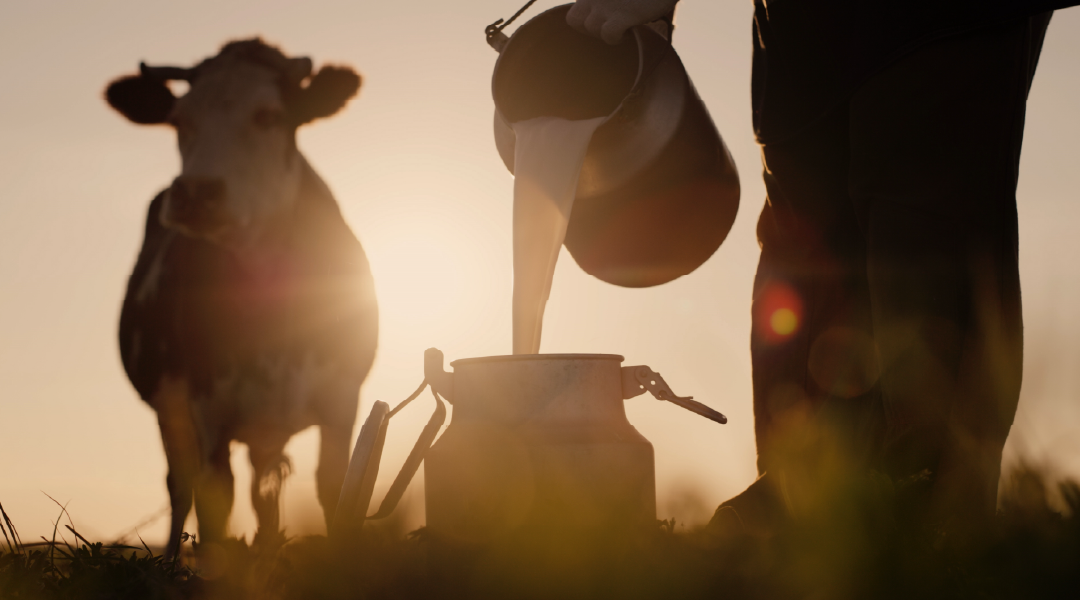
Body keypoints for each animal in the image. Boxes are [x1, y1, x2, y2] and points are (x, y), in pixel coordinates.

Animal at [105, 38, 375, 556]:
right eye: (180, 120)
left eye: (269, 115)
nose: (194, 193)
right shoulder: (209, 411)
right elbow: (215, 504)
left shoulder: (342, 398)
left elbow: (334, 489)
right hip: (173, 412)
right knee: (180, 485)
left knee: (264, 490)